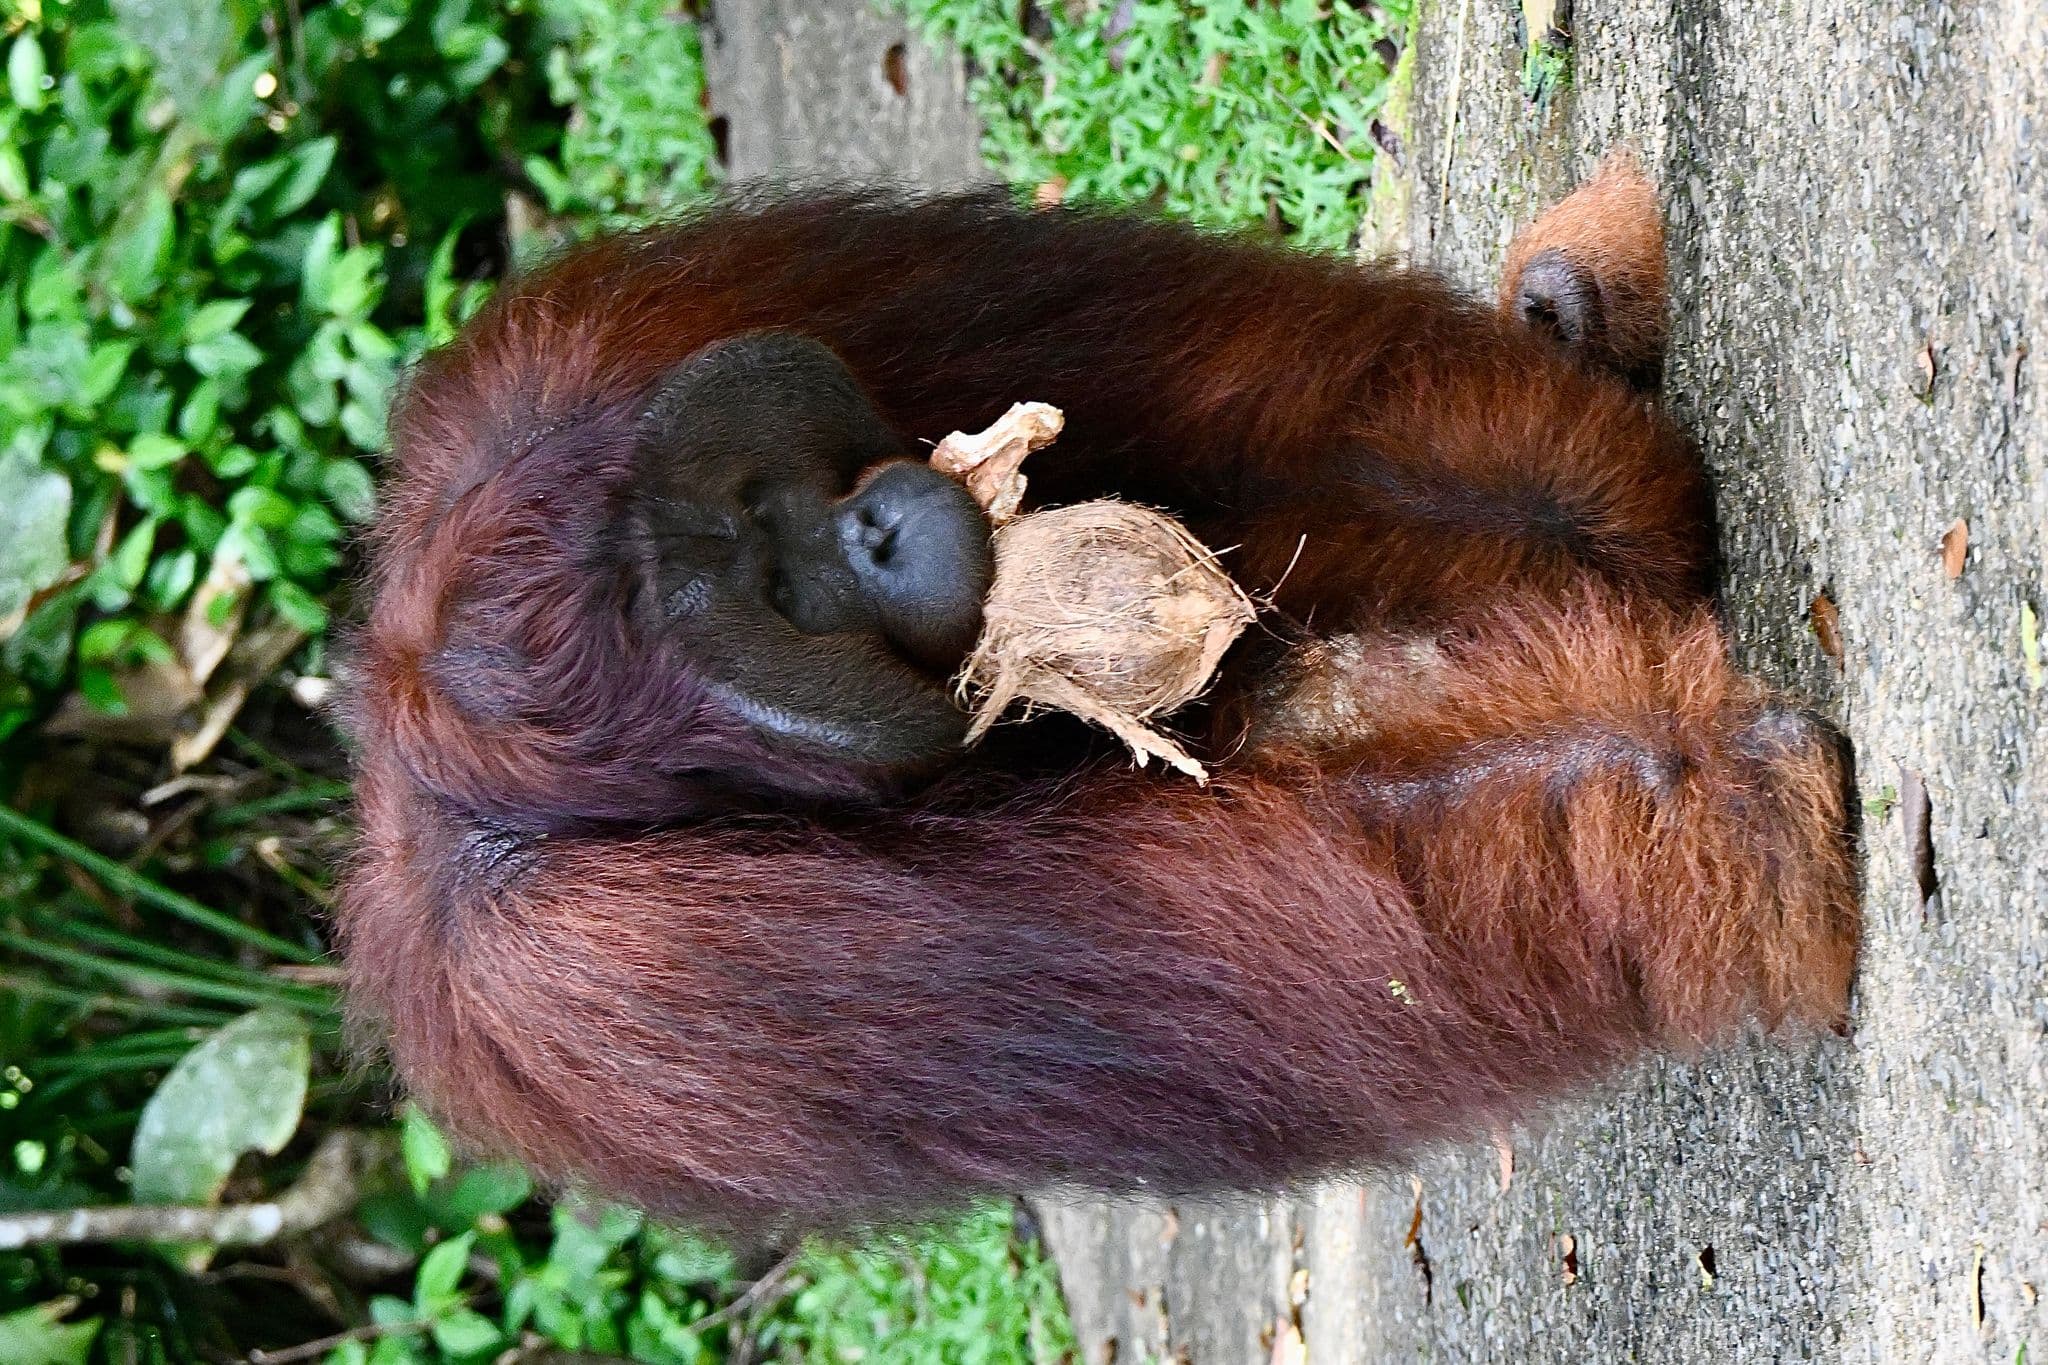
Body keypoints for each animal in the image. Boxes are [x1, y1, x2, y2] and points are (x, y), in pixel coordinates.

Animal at [339, 157, 1858, 1232]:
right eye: (781, 585)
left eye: (769, 506)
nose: (875, 527)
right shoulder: (636, 979)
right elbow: (1270, 917)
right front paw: (1712, 786)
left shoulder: (630, 343)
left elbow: (1238, 432)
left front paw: (1601, 505)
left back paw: (1574, 302)